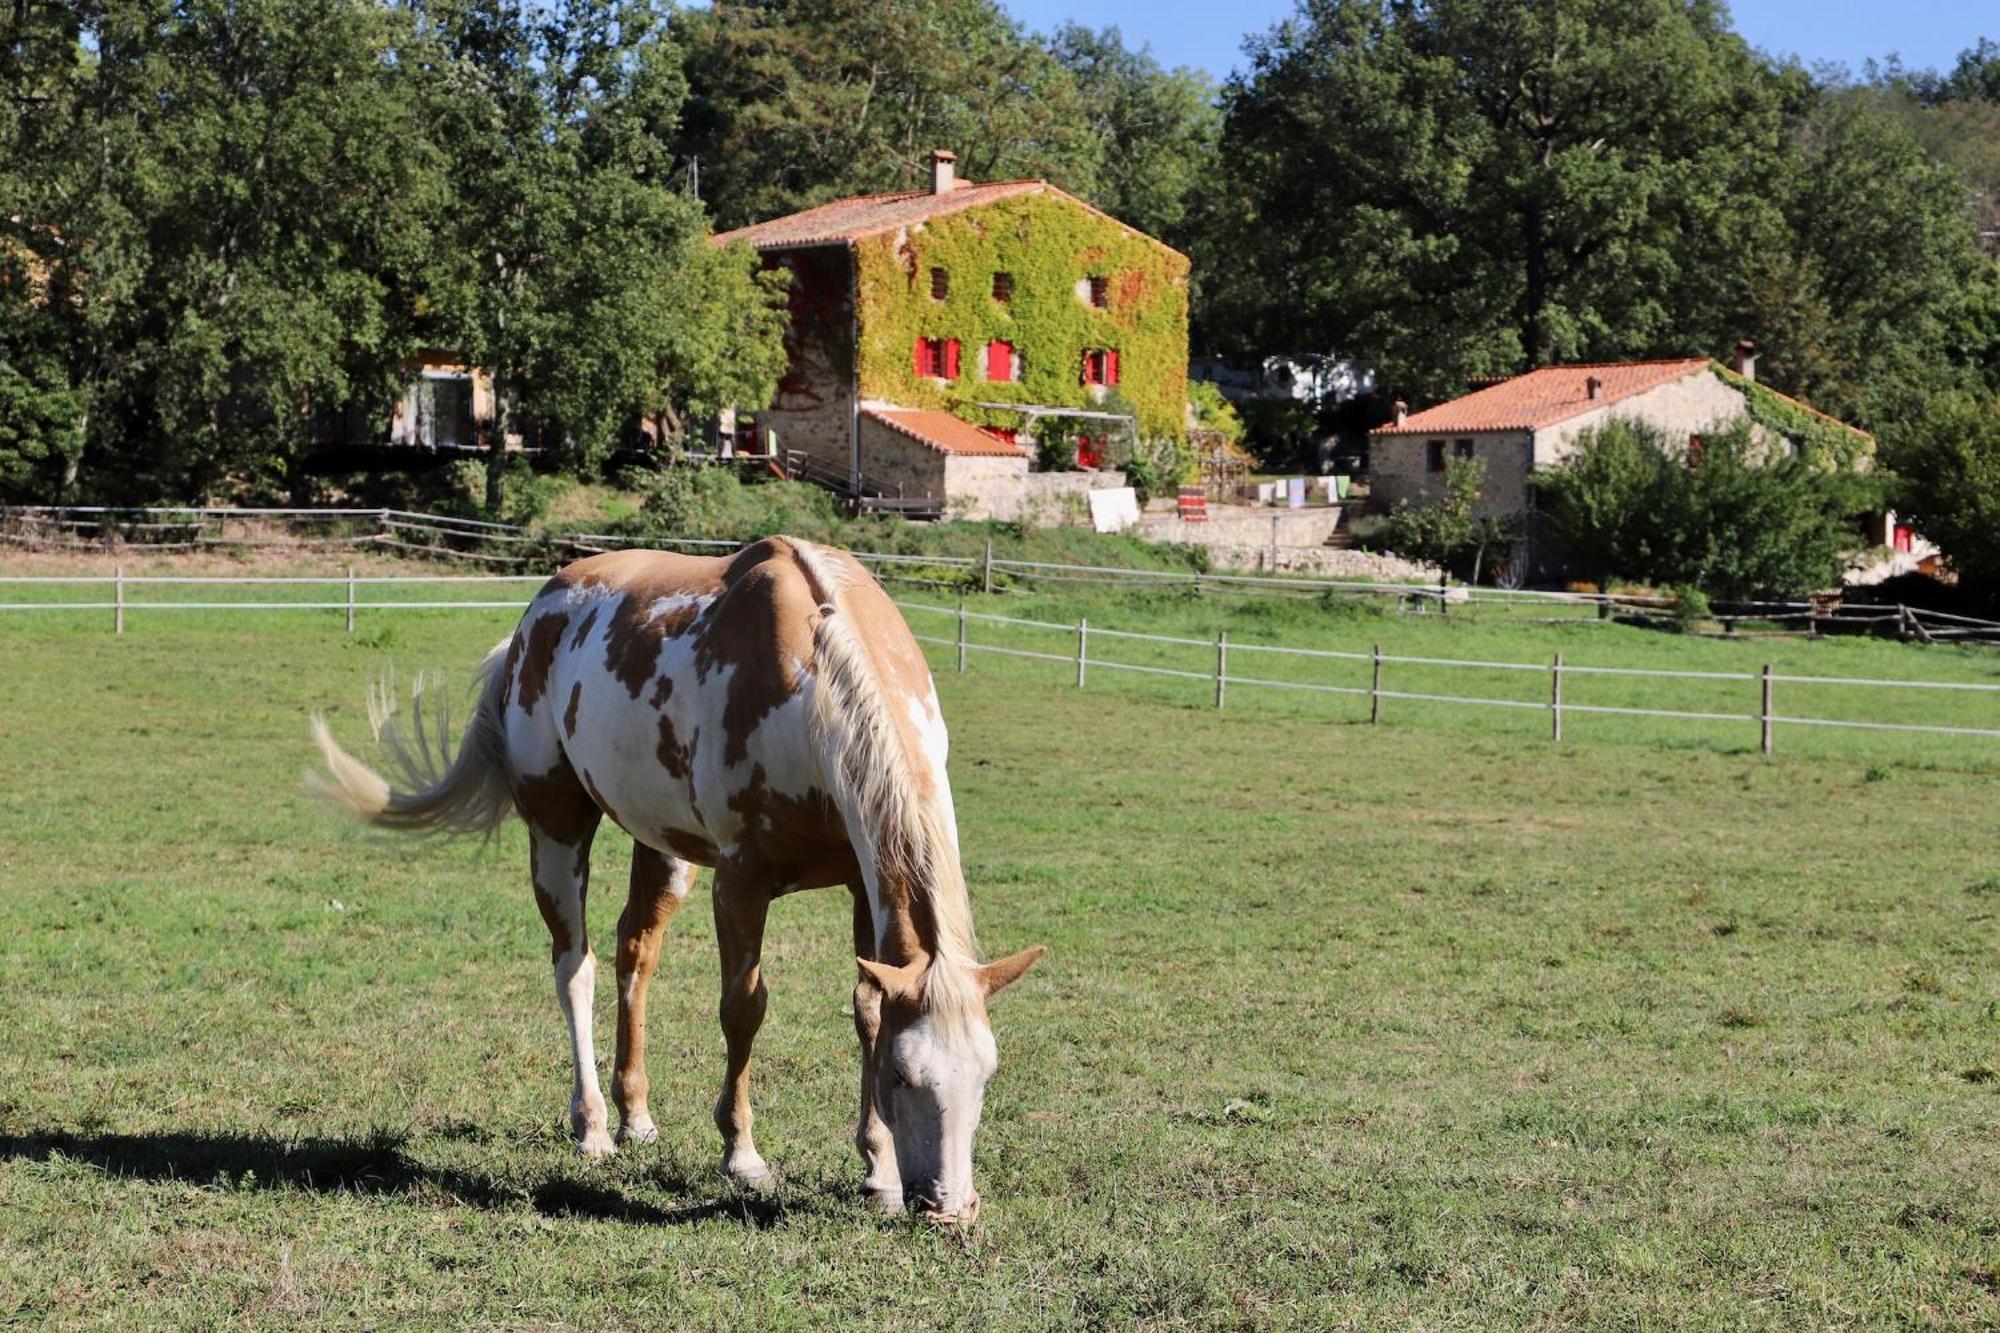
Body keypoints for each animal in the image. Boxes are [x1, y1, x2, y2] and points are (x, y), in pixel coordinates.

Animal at [308, 536, 1048, 1216]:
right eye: (903, 1075)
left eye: (986, 1074)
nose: (949, 1207)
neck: (811, 683)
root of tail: (534, 618)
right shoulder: (741, 883)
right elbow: (743, 1010)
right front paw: (743, 1156)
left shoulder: (864, 885)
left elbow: (867, 1009)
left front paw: (879, 1172)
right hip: (557, 828)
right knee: (574, 967)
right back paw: (593, 1126)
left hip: (663, 846)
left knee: (635, 952)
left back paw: (635, 1116)